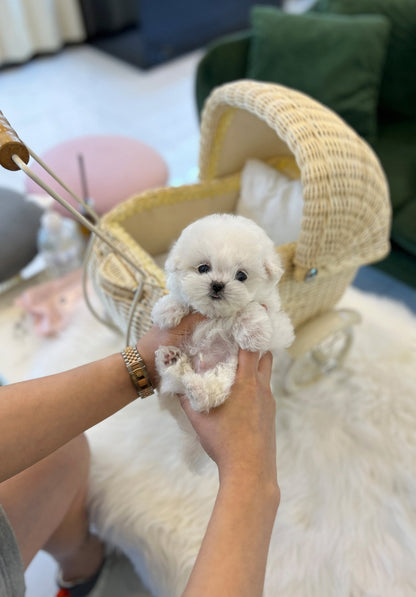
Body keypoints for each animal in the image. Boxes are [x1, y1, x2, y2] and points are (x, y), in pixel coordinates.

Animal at [151, 212, 294, 430]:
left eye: (241, 275)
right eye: (203, 268)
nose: (217, 284)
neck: (217, 315)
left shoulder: (278, 323)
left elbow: (251, 307)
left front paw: (254, 332)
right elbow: (181, 298)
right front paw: (167, 309)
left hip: (230, 369)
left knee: (210, 394)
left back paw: (198, 389)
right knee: (176, 379)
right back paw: (170, 360)